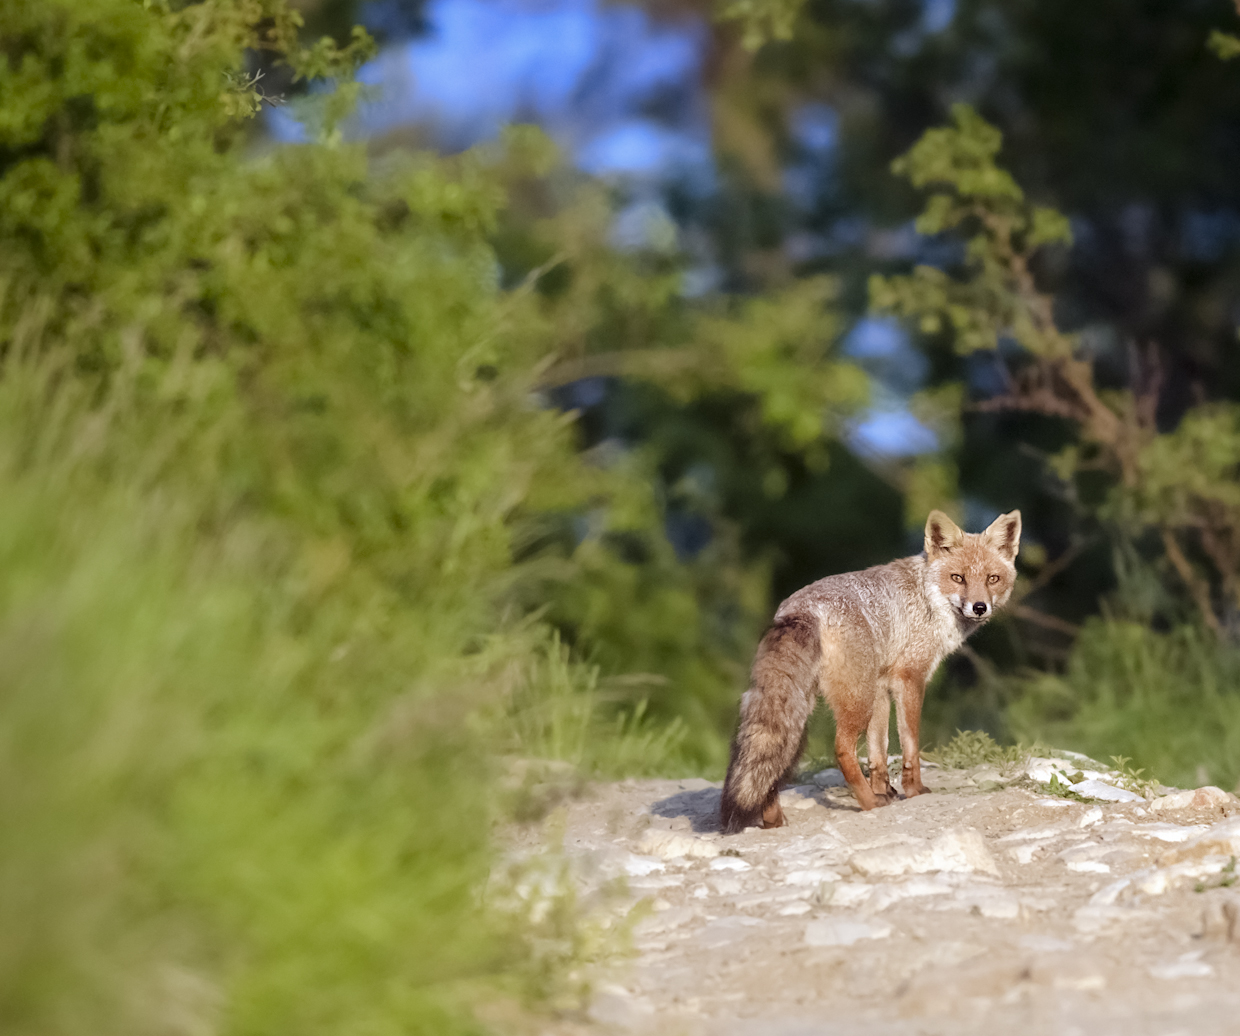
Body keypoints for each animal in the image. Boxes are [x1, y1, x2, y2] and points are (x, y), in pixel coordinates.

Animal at [719, 509, 1021, 833]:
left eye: (992, 579)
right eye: (958, 578)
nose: (979, 607)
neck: (927, 598)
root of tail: (800, 608)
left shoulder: (881, 684)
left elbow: (879, 749)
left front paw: (885, 789)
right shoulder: (909, 678)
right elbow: (909, 745)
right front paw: (913, 790)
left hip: (805, 711)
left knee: (777, 766)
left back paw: (774, 821)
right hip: (855, 701)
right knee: (842, 750)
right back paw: (867, 803)